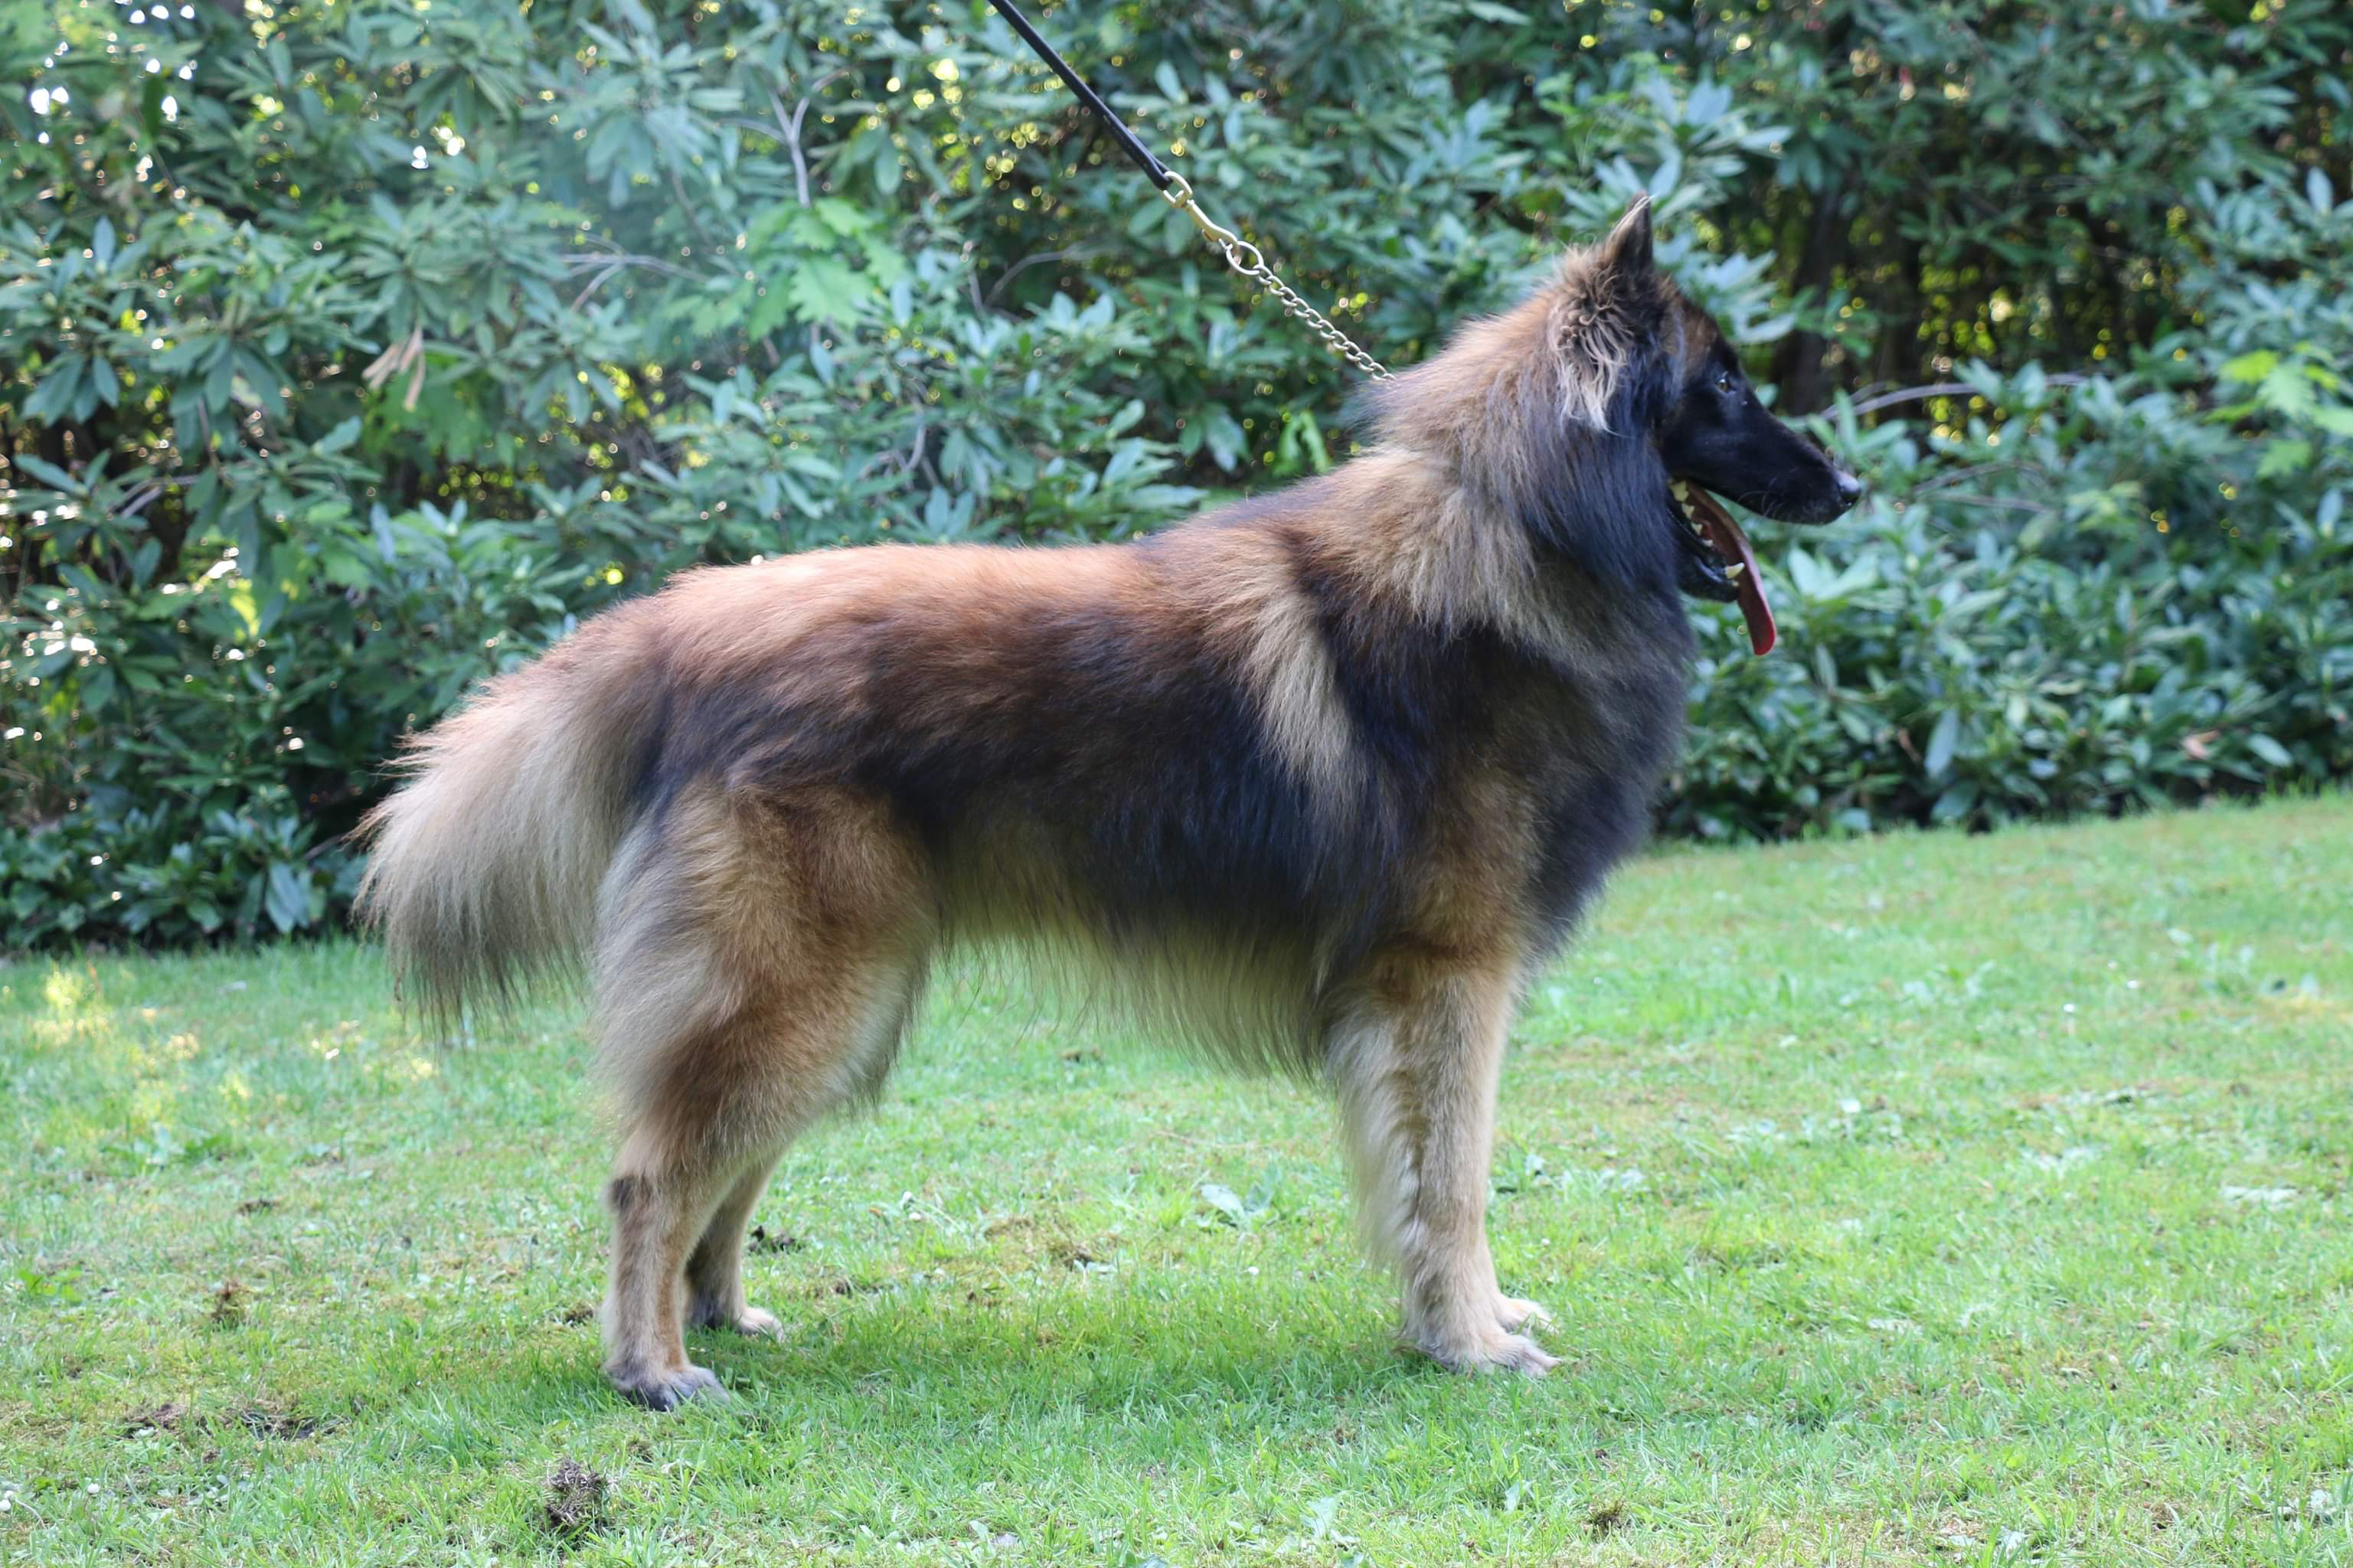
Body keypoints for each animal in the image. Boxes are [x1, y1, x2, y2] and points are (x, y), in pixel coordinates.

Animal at [352, 195, 1854, 1403]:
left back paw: (718, 1319)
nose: (1849, 480)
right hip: (800, 991)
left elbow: (1435, 1188)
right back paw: (652, 1367)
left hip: (843, 1007)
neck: (1514, 531)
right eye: (1721, 385)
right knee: (651, 1176)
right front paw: (1472, 1342)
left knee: (723, 1171)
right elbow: (1455, 1181)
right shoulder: (1443, 981)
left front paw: (1471, 1322)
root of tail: (678, 624)